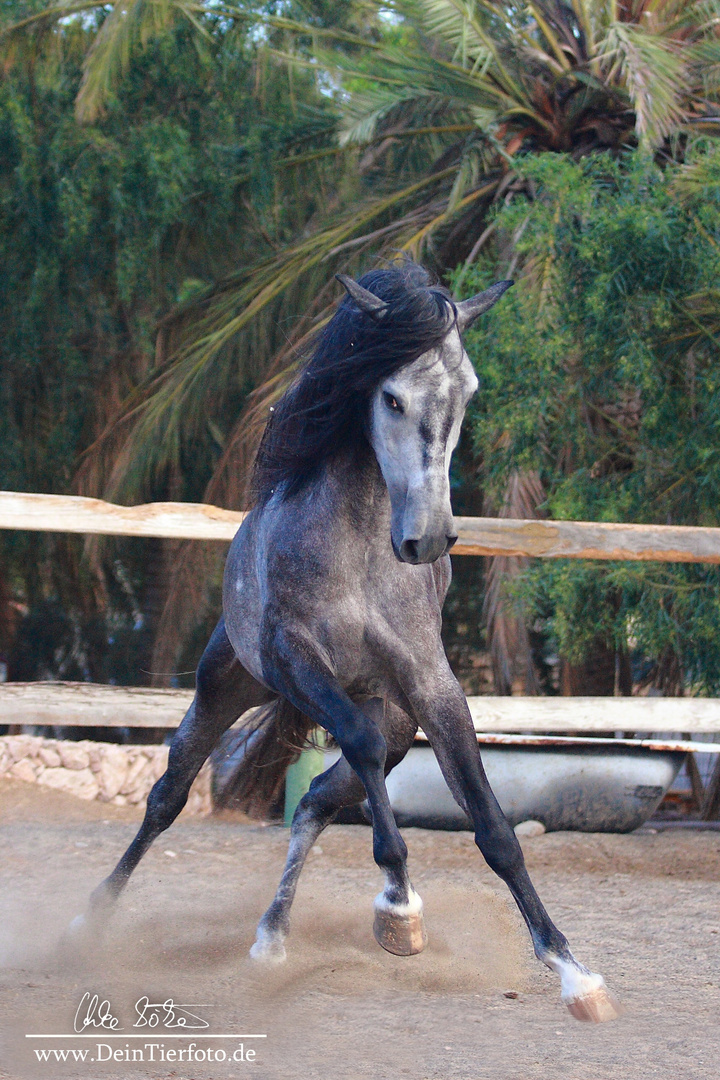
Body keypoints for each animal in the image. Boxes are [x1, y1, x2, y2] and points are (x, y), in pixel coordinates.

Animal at [71, 261, 621, 1019]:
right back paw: (87, 923)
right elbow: (354, 754)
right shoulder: (296, 661)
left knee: (315, 801)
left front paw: (575, 973)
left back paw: (275, 936)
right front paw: (401, 905)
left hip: (396, 729)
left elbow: (494, 828)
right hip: (224, 686)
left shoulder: (430, 685)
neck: (359, 548)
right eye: (390, 396)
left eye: (468, 392)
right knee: (169, 796)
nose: (428, 539)